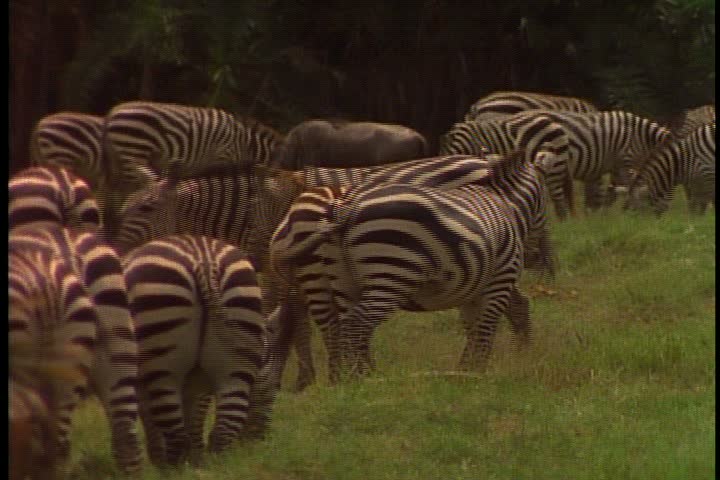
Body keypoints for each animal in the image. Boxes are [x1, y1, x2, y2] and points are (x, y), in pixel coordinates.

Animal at [122, 235, 267, 465]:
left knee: (177, 437)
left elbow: (155, 427)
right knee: (224, 430)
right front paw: (197, 462)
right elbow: (194, 421)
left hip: (162, 366)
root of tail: (204, 262)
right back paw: (219, 466)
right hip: (238, 353)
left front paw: (162, 461)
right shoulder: (196, 386)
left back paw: (173, 470)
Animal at [270, 149, 557, 381]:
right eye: (545, 204)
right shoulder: (499, 279)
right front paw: (477, 374)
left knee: (339, 326)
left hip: (340, 280)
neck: (505, 202)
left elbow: (473, 329)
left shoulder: (473, 287)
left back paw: (354, 378)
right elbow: (486, 329)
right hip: (391, 270)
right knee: (356, 324)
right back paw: (361, 381)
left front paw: (465, 372)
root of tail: (343, 208)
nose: (534, 257)